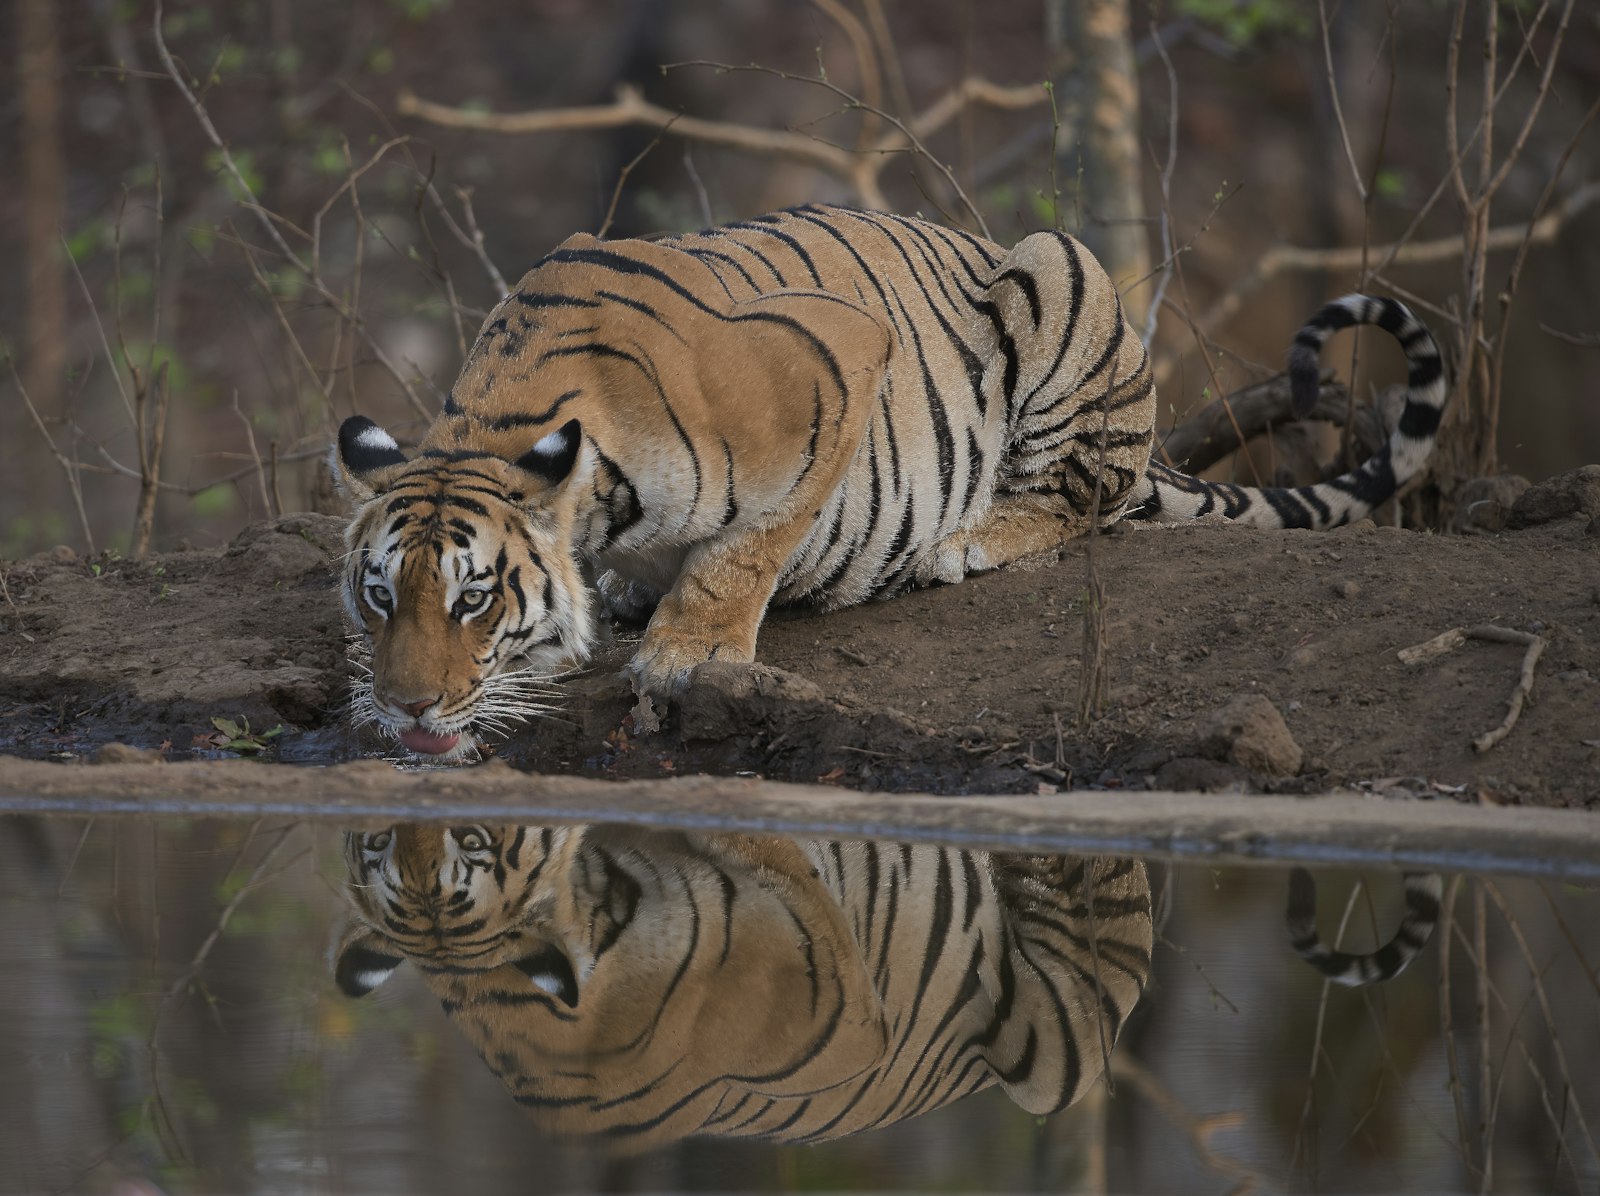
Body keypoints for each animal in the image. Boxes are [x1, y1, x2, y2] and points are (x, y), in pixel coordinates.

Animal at [331, 203, 1448, 757]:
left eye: (475, 599)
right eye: (379, 596)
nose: (405, 710)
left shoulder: (834, 358)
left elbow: (747, 548)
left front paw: (688, 650)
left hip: (1059, 270)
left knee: (1083, 495)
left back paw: (967, 540)